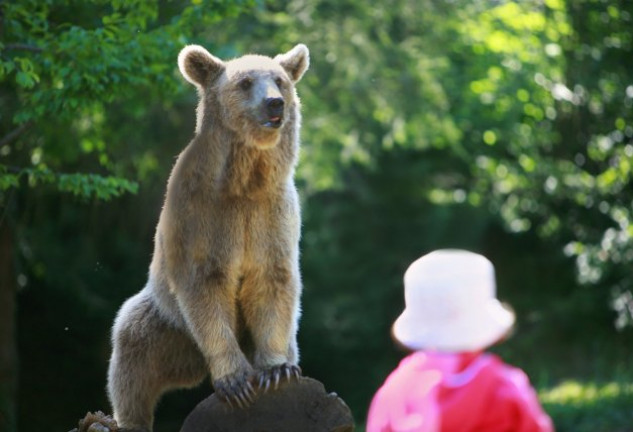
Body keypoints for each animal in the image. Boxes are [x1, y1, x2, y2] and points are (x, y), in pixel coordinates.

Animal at [107, 42, 310, 430]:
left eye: (279, 80)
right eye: (245, 82)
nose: (274, 103)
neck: (245, 181)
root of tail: (193, 367)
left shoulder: (271, 216)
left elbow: (273, 282)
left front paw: (276, 370)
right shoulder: (204, 217)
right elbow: (205, 286)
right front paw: (236, 382)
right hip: (167, 322)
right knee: (132, 353)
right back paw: (128, 418)